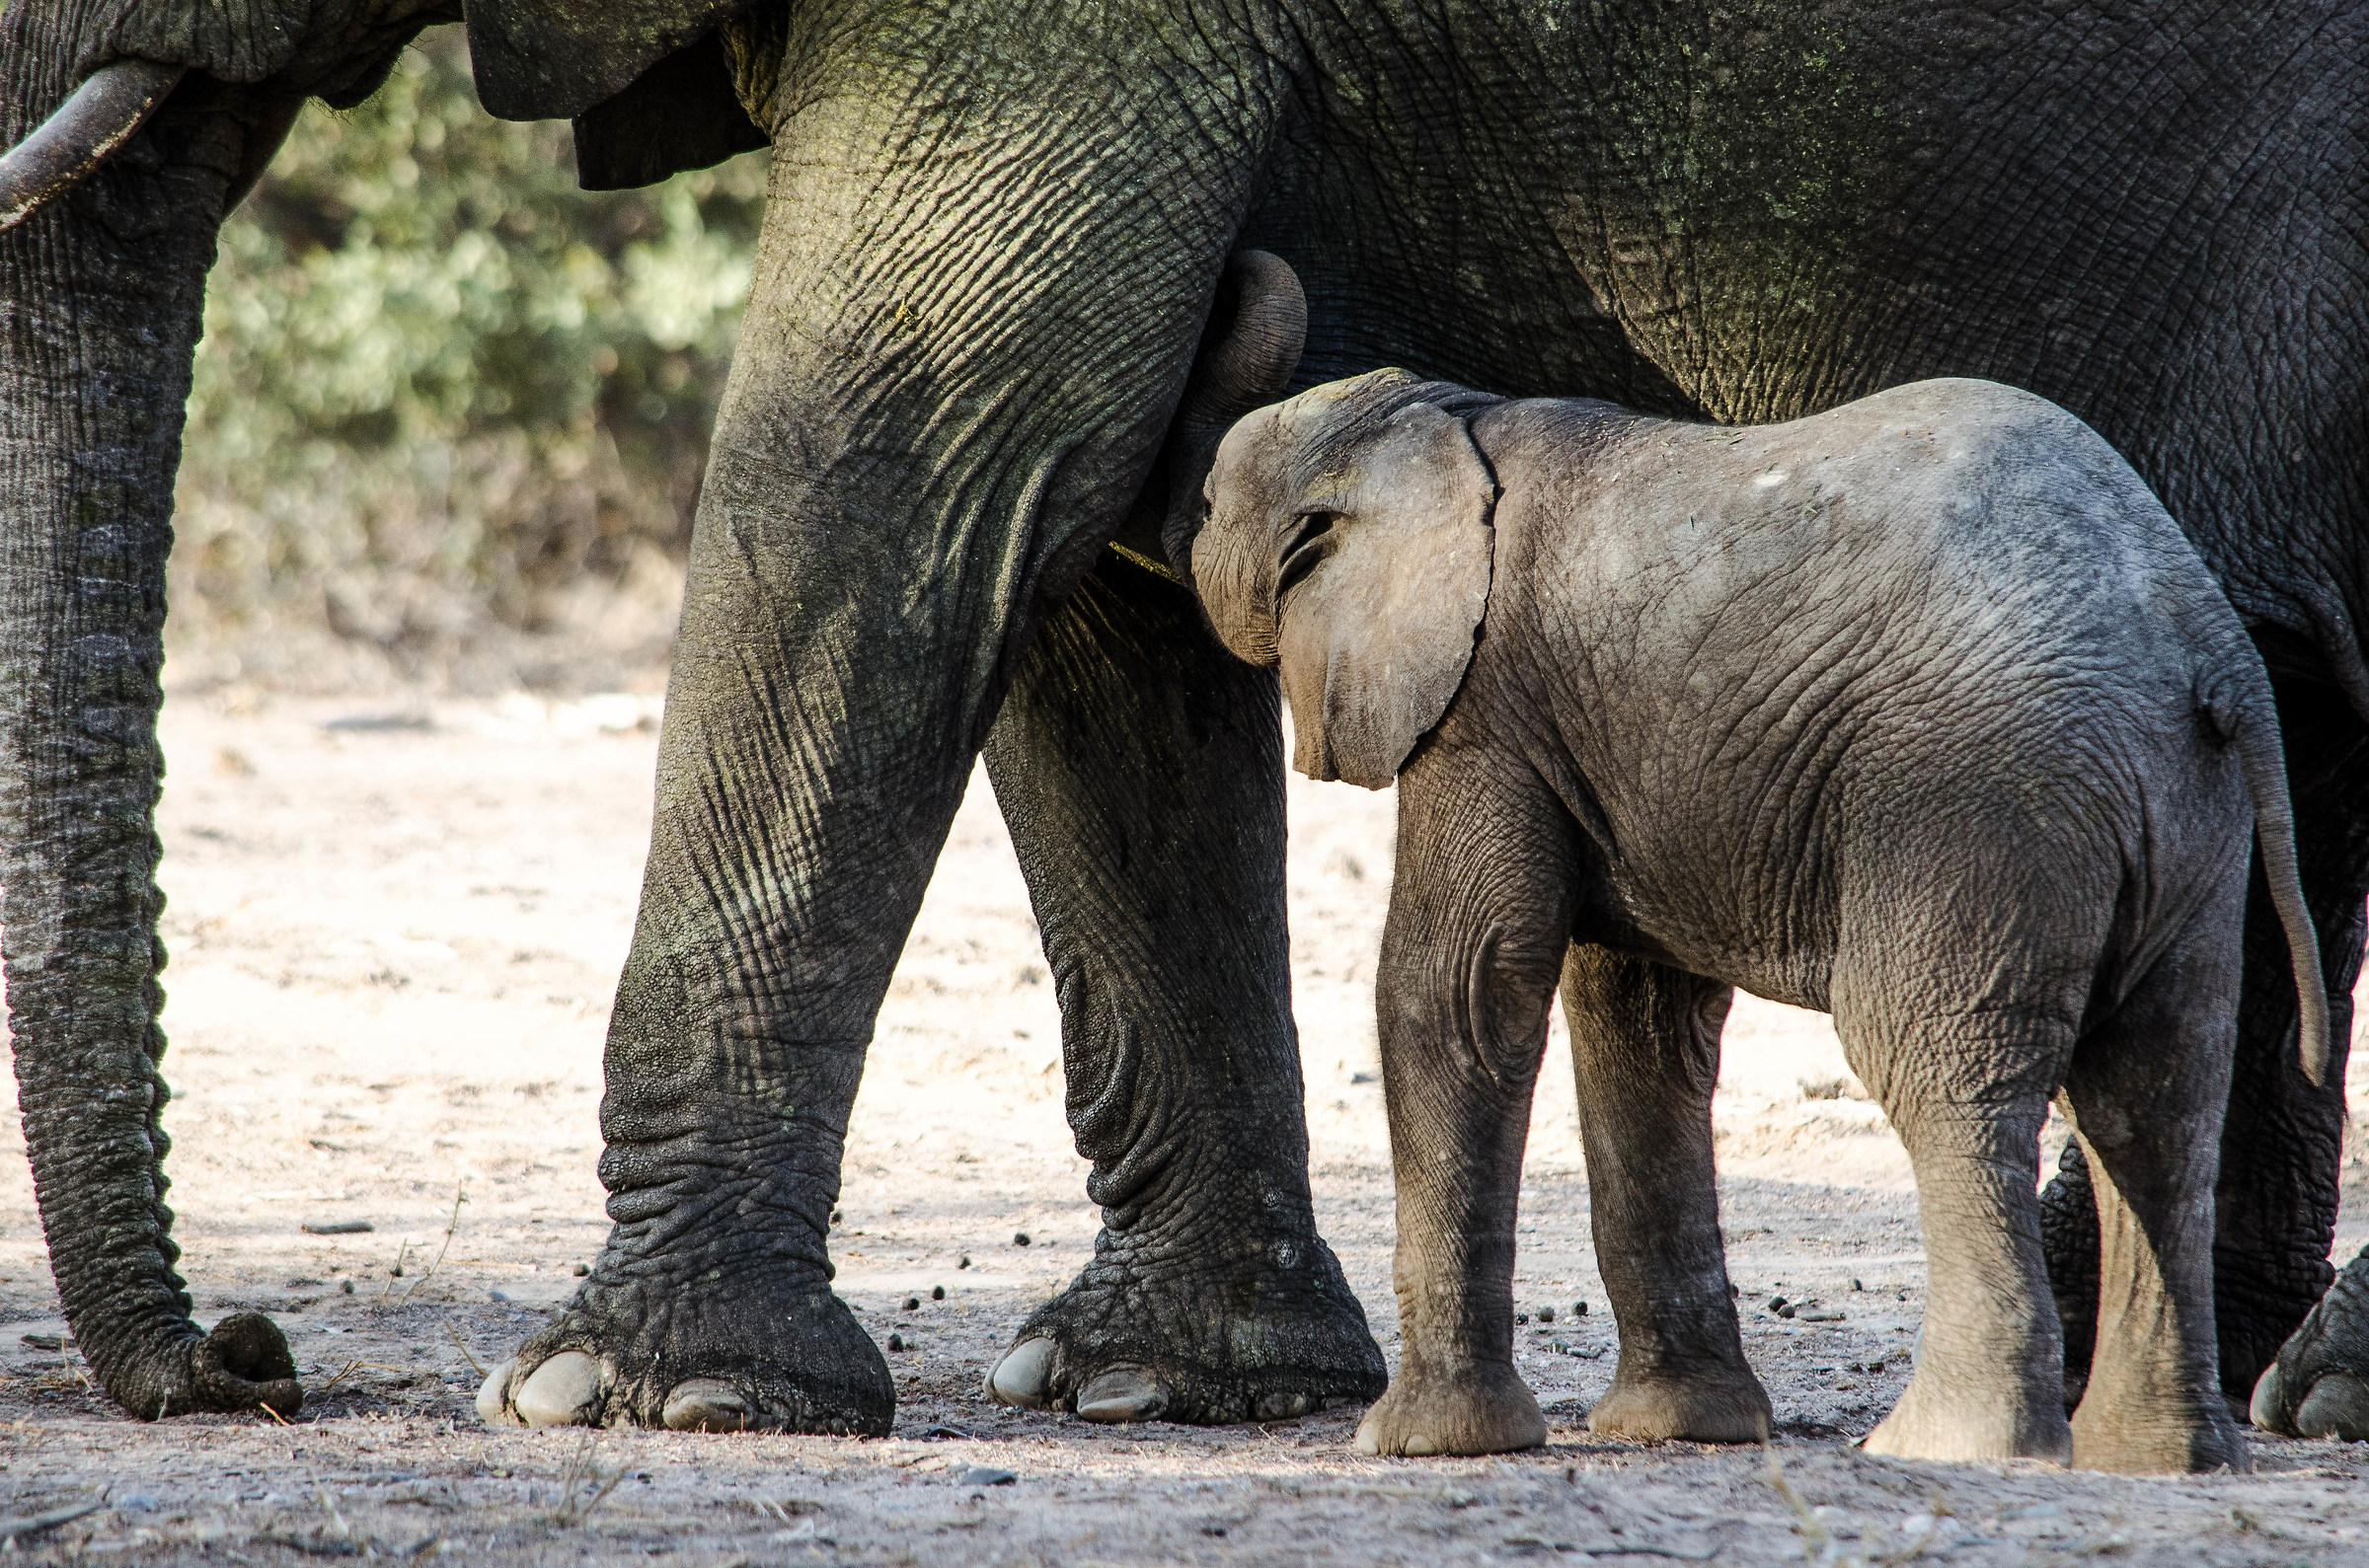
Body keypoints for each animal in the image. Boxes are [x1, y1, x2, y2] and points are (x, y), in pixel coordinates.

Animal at [1192, 365, 2327, 1472]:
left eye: (1206, 499)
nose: (1188, 528)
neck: (1434, 410)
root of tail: (2212, 642)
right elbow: (1637, 1015)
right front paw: (1682, 1427)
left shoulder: (1483, 710)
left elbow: (1458, 993)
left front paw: (1417, 1443)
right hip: (2183, 812)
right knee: (2159, 1094)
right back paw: (2158, 1458)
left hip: (1979, 793)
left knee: (1939, 1068)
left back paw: (1949, 1445)